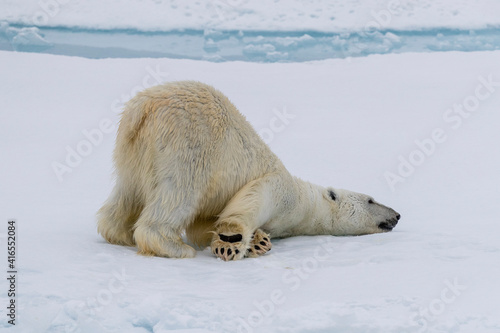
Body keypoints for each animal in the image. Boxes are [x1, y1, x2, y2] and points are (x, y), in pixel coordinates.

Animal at [97, 80, 400, 260]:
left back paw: (119, 234)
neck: (306, 202)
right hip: (188, 145)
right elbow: (251, 200)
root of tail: (143, 107)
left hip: (132, 153)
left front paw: (258, 241)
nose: (396, 215)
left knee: (127, 195)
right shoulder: (280, 188)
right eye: (371, 199)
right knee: (178, 194)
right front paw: (232, 241)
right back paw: (175, 247)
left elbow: (204, 224)